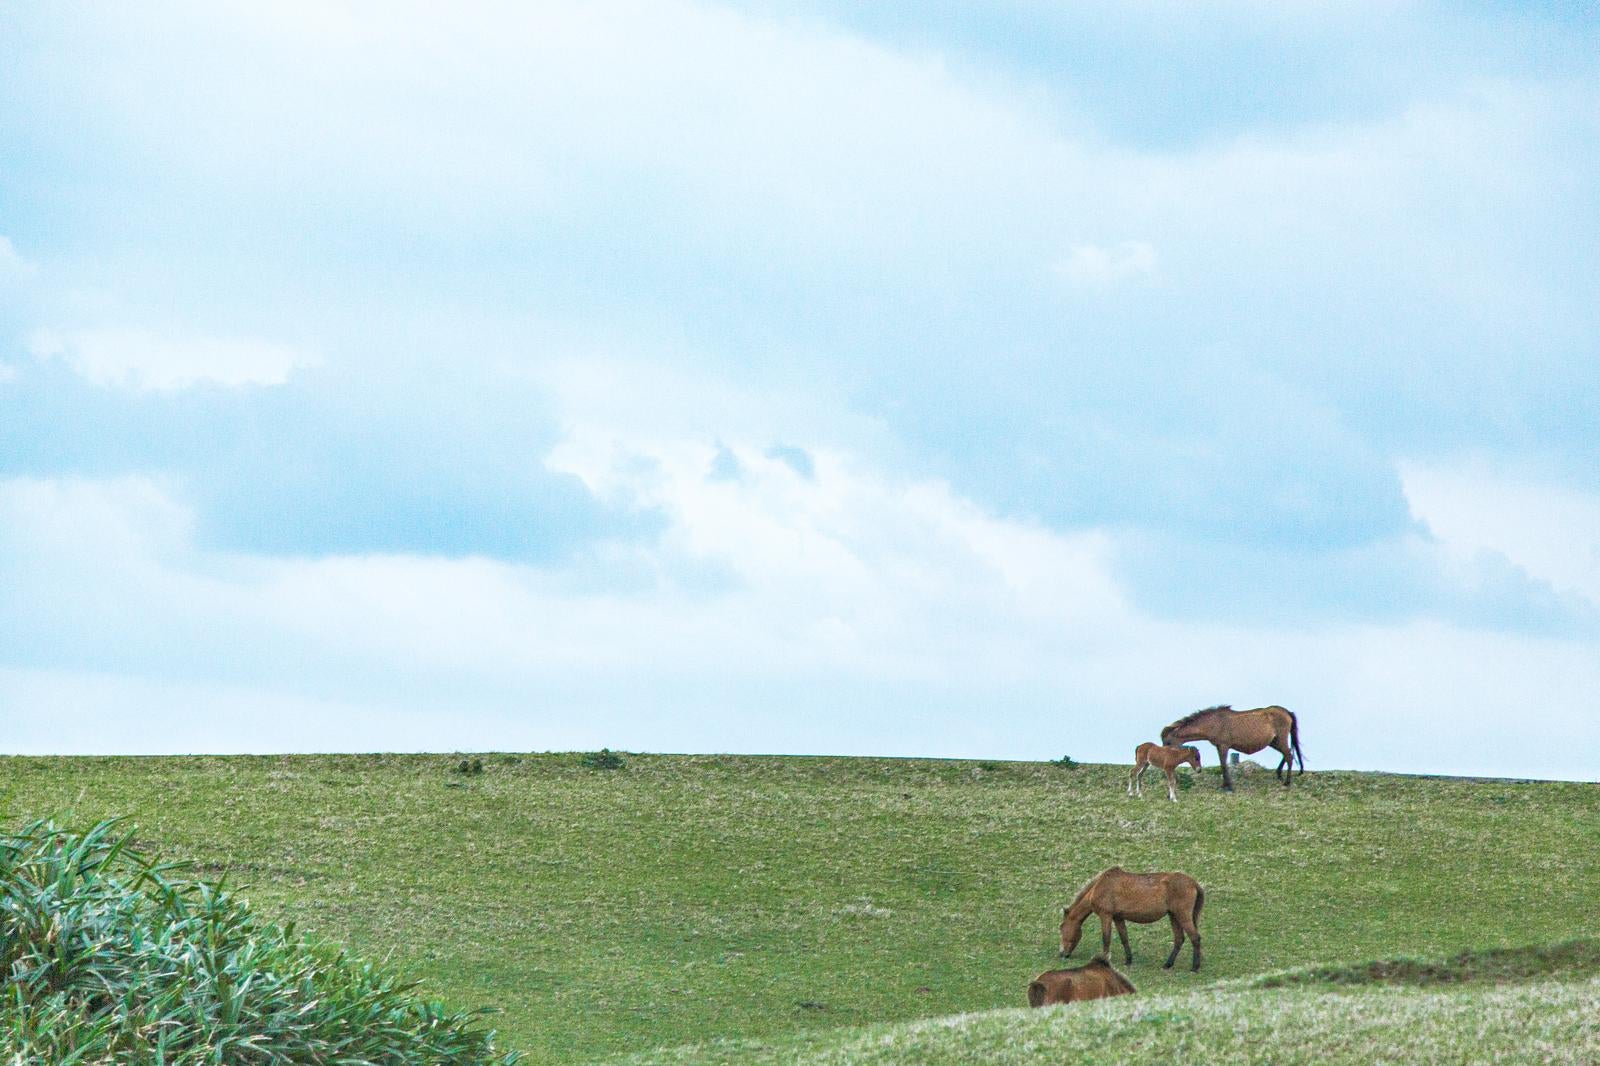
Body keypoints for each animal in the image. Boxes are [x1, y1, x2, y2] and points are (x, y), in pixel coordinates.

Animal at [1060, 866, 1205, 971]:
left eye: (1061, 928)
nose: (1062, 954)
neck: (1100, 886)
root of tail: (1193, 883)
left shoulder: (1106, 915)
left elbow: (1106, 939)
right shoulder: (1118, 917)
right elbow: (1124, 938)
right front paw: (1128, 960)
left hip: (1182, 916)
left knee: (1195, 938)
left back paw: (1195, 967)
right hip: (1173, 916)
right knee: (1179, 939)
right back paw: (1168, 964)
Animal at [1161, 704, 1304, 791]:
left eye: (1167, 742)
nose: (1164, 758)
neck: (1213, 723)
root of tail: (1287, 712)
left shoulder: (1224, 746)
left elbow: (1224, 765)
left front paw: (1228, 786)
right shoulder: (1219, 746)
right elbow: (1222, 764)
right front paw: (1226, 784)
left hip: (1280, 739)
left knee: (1289, 755)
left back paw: (1287, 782)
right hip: (1274, 741)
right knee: (1287, 754)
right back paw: (1279, 774)